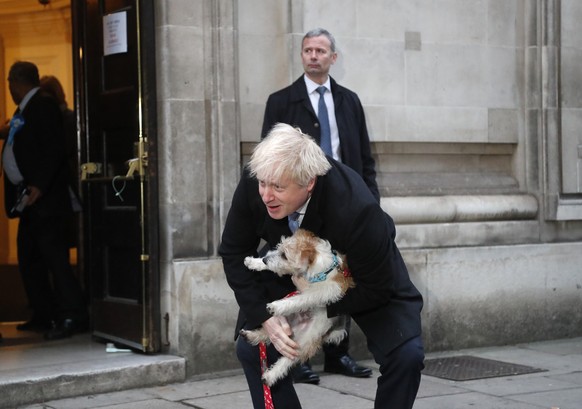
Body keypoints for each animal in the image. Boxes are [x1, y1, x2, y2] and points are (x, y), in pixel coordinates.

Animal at [241, 230, 356, 386]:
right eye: (279, 247)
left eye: (285, 255)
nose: (264, 259)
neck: (320, 268)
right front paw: (254, 262)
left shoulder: (328, 289)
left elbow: (301, 298)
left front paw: (277, 305)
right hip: (285, 322)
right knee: (267, 333)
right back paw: (250, 335)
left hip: (305, 342)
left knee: (288, 360)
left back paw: (270, 376)